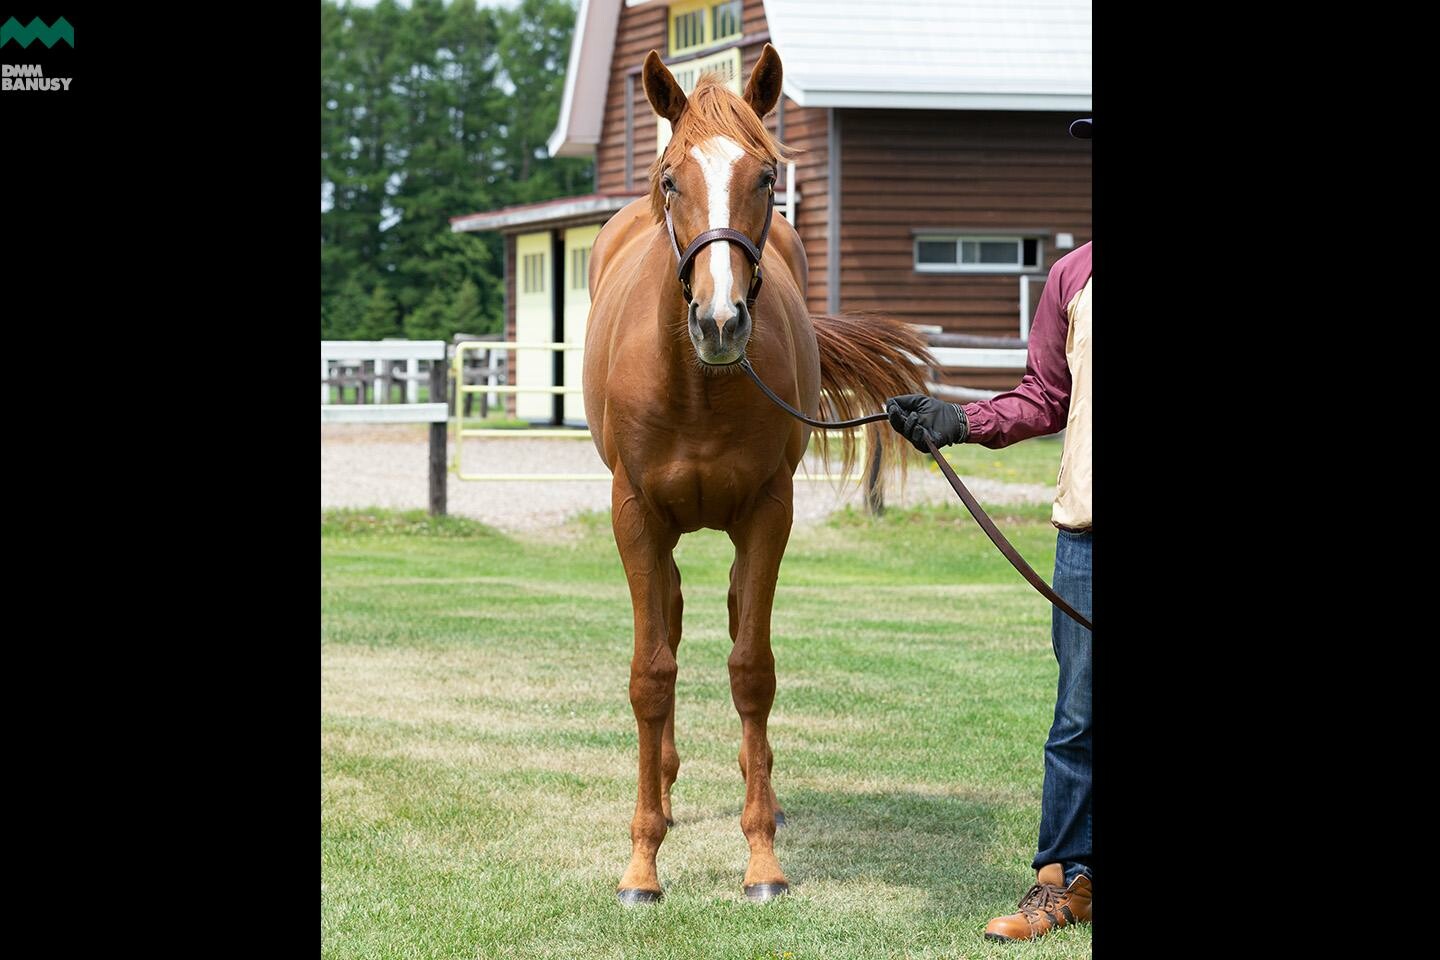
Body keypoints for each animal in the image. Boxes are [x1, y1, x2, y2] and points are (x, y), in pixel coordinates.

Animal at [584, 44, 933, 903]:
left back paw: (755, 785)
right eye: (671, 179)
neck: (700, 385)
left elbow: (752, 670)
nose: (720, 321)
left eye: (768, 178)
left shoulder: (769, 514)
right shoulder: (634, 515)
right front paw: (642, 863)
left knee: (738, 614)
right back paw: (667, 784)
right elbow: (650, 675)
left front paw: (763, 858)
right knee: (673, 621)